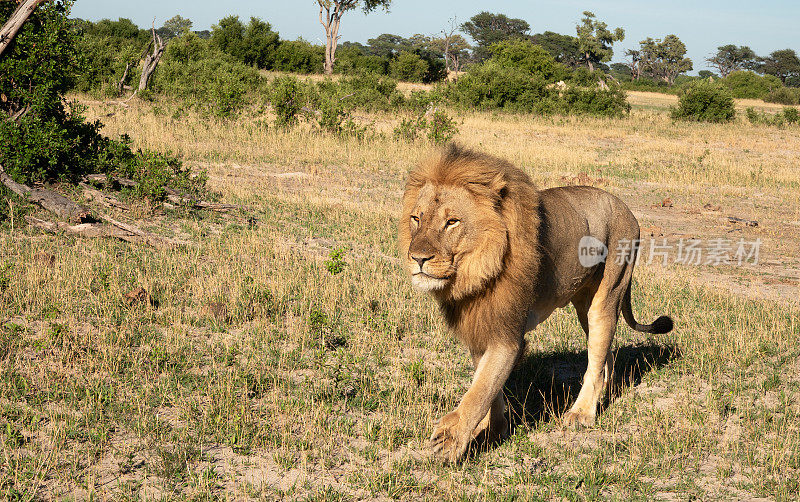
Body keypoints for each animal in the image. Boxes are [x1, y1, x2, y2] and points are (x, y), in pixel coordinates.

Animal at [396, 144, 672, 462]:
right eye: (416, 219)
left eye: (452, 221)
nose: (417, 258)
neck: (475, 272)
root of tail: (627, 208)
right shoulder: (480, 327)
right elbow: (491, 390)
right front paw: (494, 432)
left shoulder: (507, 334)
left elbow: (480, 390)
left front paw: (450, 440)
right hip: (584, 305)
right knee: (605, 355)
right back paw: (604, 395)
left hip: (608, 293)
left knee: (597, 354)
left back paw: (582, 414)